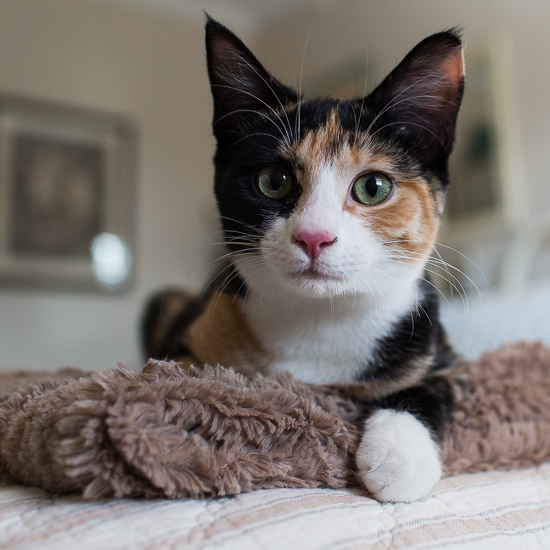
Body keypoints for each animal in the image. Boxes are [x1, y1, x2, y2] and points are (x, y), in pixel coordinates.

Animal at [142, 18, 466, 504]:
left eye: (373, 187)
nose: (314, 236)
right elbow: (177, 375)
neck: (320, 319)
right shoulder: (191, 338)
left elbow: (431, 388)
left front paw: (399, 458)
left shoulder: (442, 351)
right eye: (273, 180)